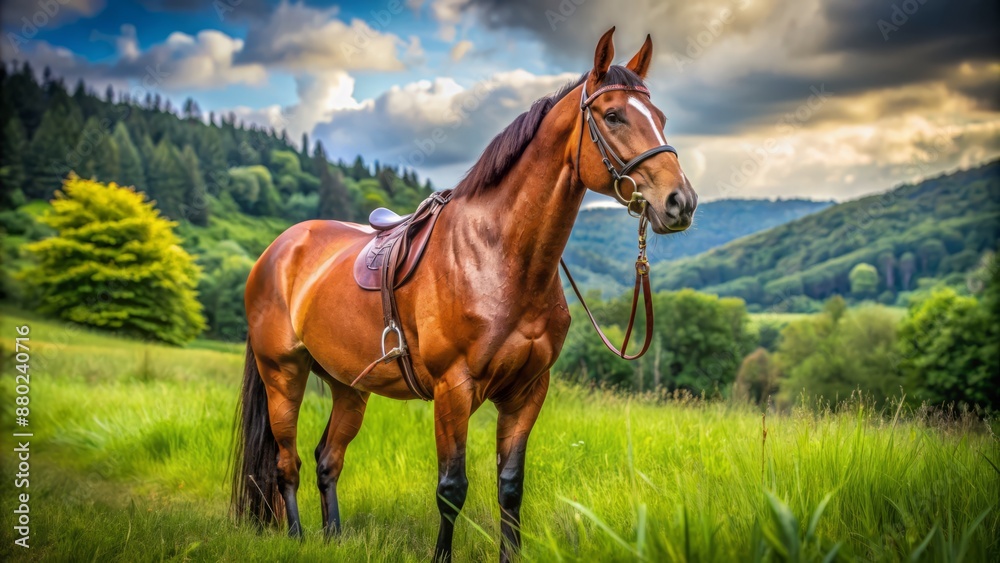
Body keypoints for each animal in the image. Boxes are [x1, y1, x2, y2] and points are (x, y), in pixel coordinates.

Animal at [231, 27, 697, 562]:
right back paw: (297, 537)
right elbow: (451, 489)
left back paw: (333, 537)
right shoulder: (452, 390)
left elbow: (510, 486)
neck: (498, 256)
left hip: (349, 386)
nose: (680, 202)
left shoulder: (527, 391)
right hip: (283, 374)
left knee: (328, 459)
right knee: (286, 464)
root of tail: (277, 251)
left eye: (660, 118)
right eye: (614, 115)